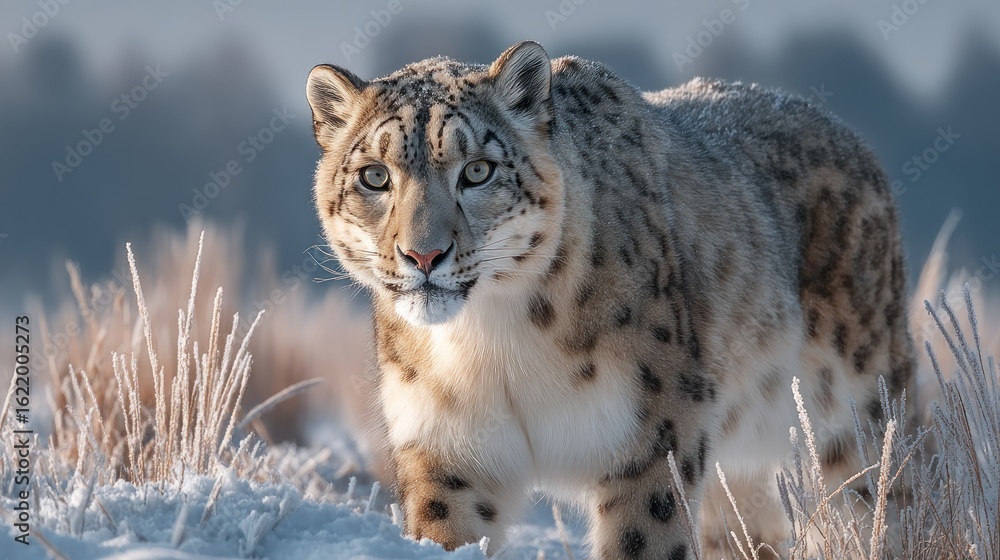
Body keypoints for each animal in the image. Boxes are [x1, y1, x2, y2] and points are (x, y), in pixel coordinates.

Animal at [304, 40, 916, 559]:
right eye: (374, 176)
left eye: (477, 170)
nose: (423, 255)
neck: (489, 343)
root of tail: (855, 142)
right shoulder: (446, 451)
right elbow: (447, 534)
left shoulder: (653, 438)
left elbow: (645, 538)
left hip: (857, 413)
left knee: (885, 496)